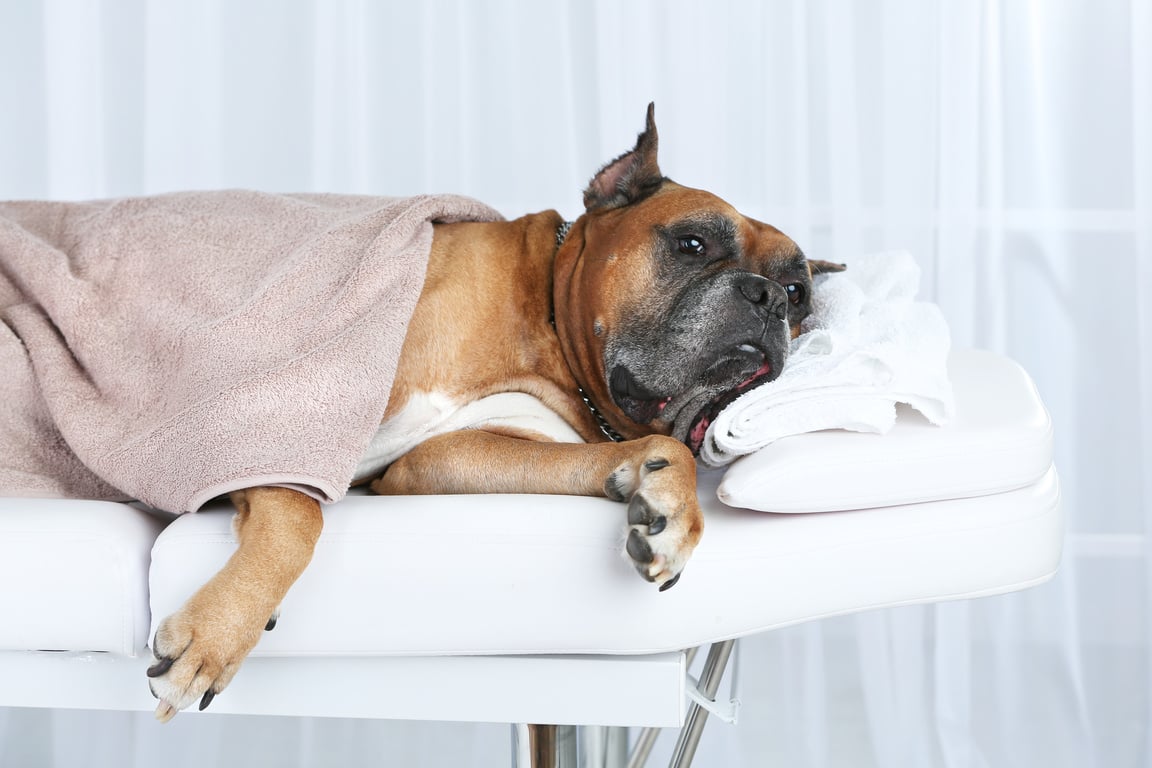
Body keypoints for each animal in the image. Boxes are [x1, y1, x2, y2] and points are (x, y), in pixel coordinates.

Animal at [146, 103, 847, 723]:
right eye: (692, 243)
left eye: (797, 294)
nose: (766, 298)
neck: (541, 321)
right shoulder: (281, 410)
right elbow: (298, 513)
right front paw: (216, 636)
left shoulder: (439, 461)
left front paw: (667, 505)